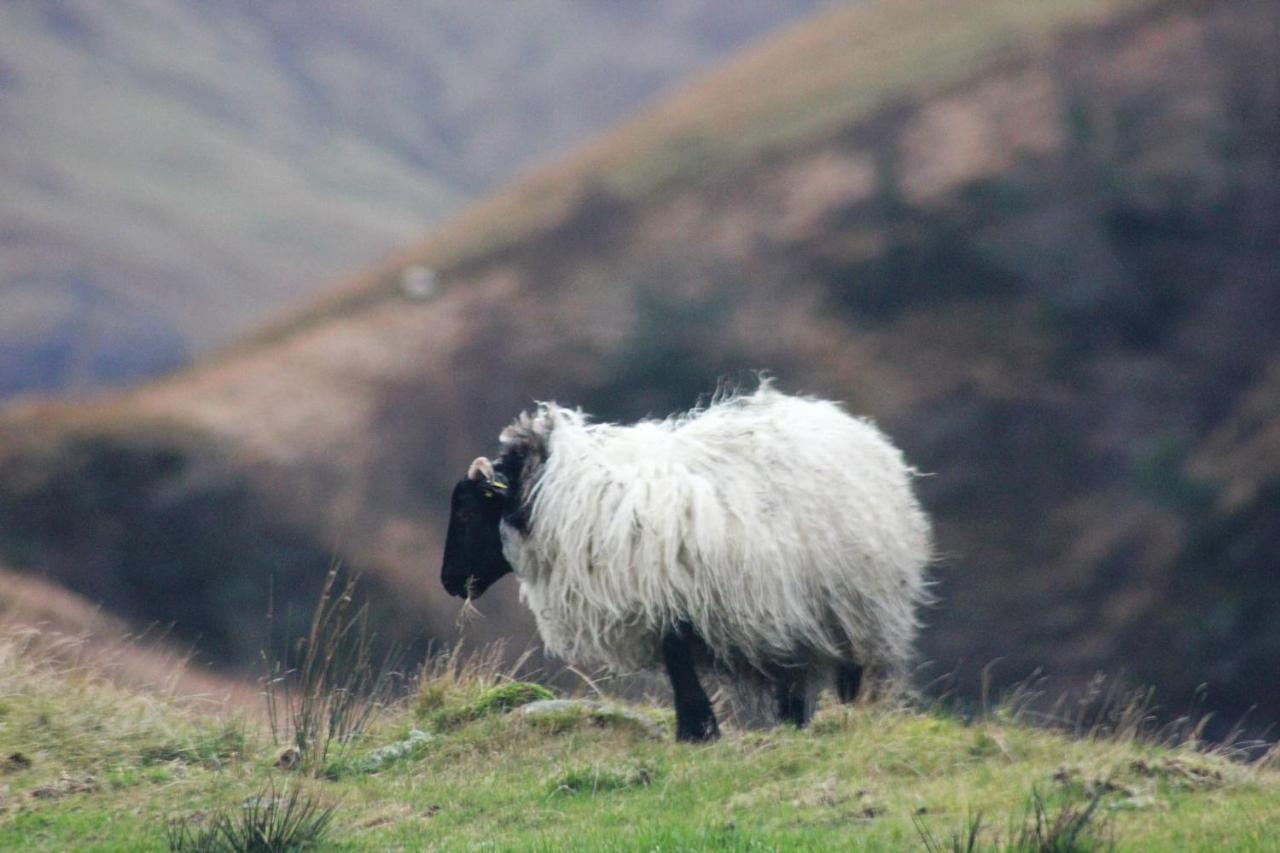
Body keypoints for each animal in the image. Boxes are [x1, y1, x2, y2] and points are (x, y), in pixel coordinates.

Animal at [440, 379, 931, 737]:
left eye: (465, 512)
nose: (448, 581)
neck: (557, 495)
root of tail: (855, 427)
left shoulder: (668, 597)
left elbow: (678, 664)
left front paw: (696, 731)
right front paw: (700, 729)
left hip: (854, 597)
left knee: (853, 670)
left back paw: (851, 718)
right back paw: (794, 723)